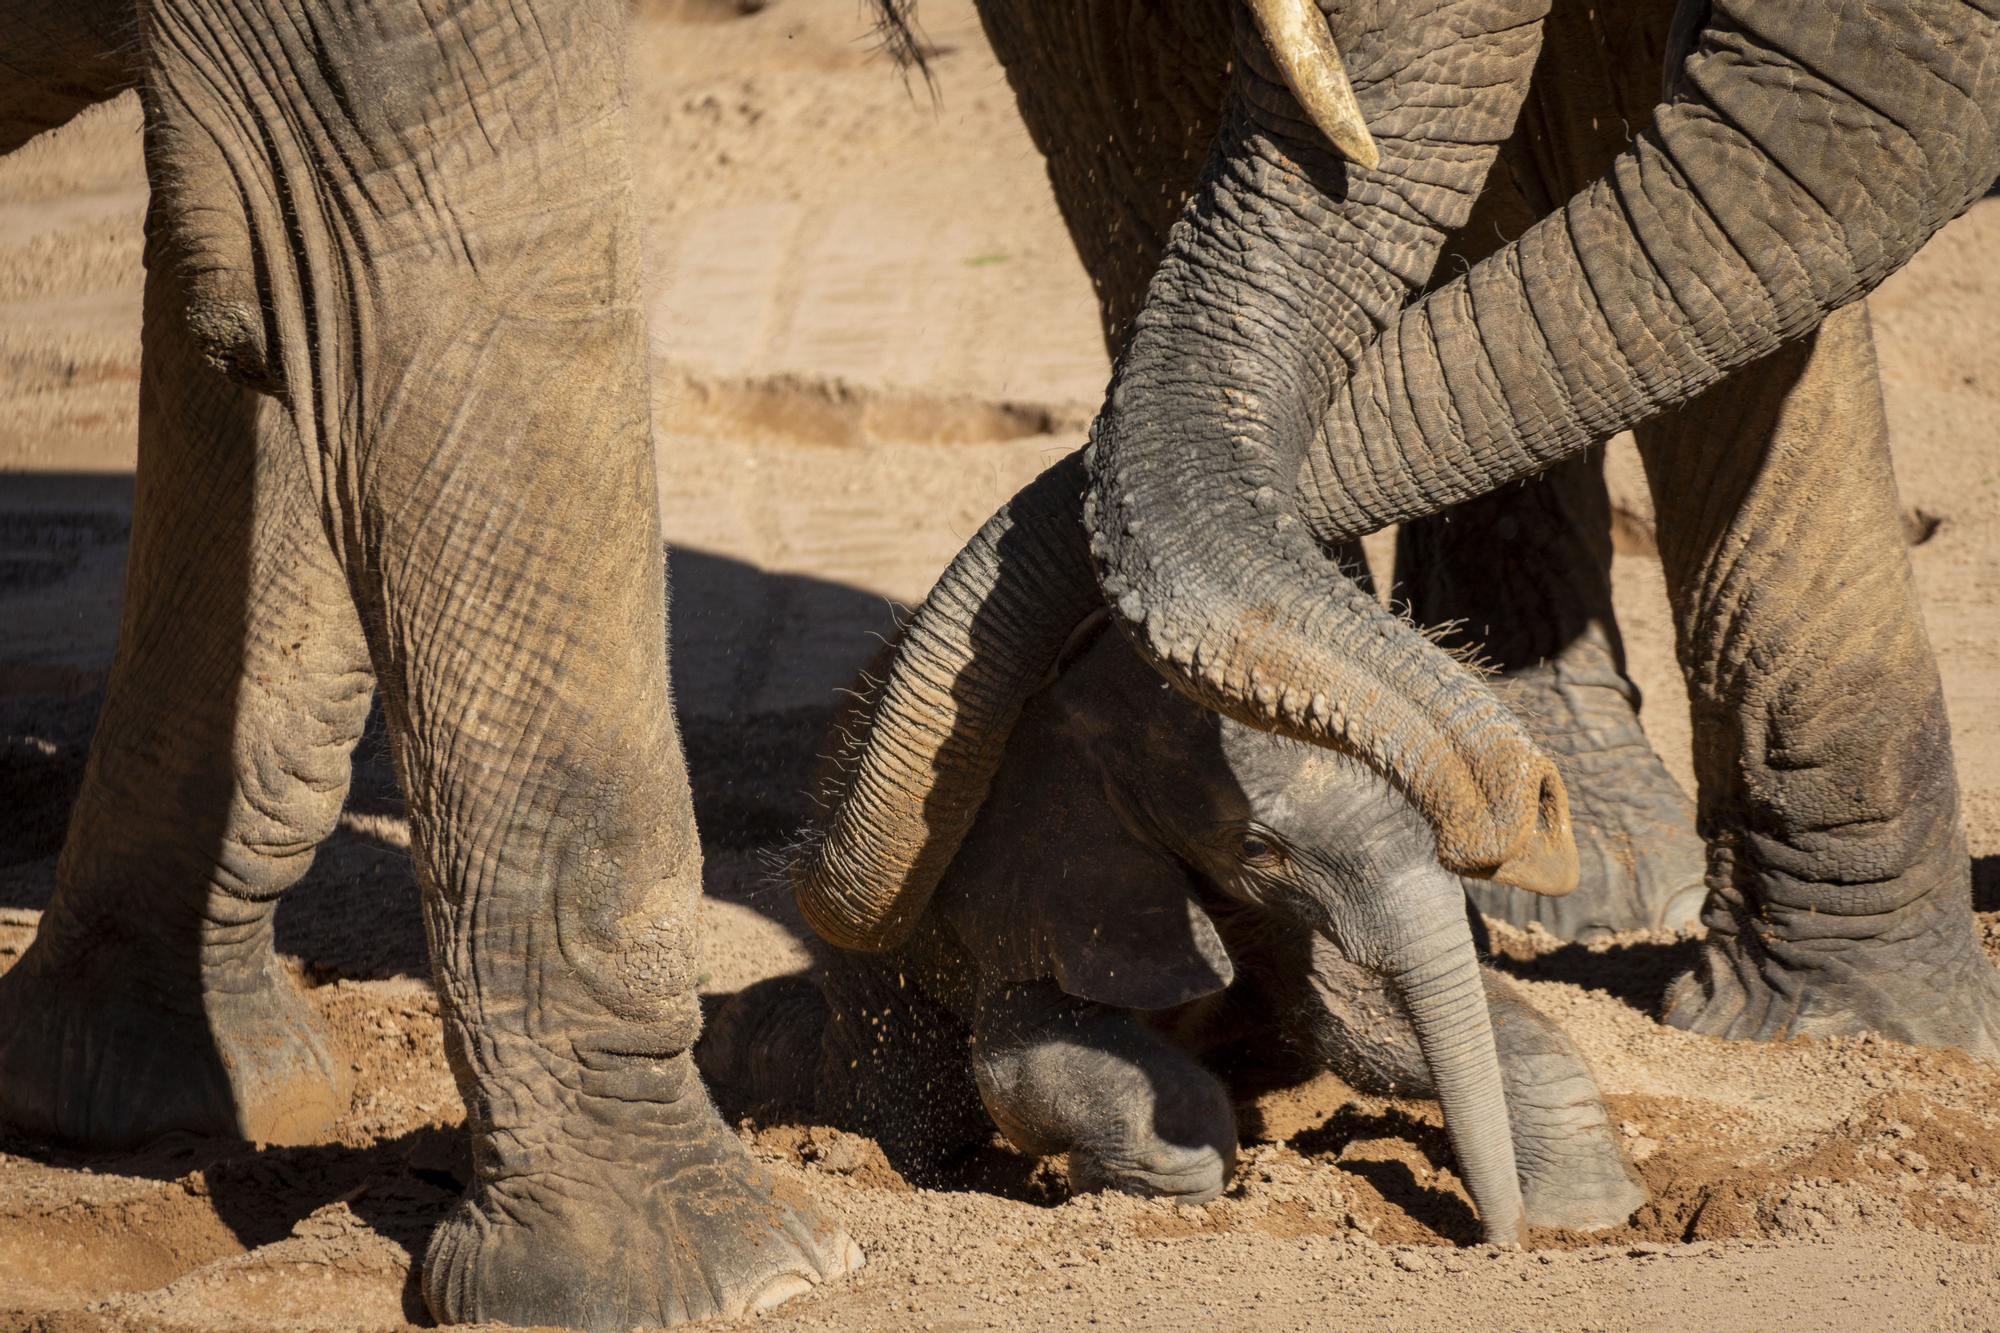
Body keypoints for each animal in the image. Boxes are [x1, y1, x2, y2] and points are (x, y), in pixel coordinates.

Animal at [712, 612, 1648, 1232]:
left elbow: (1365, 1026)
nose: (1503, 1238)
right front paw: (1141, 1197)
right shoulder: (1036, 882)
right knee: (912, 1096)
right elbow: (1022, 1061)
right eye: (1260, 846)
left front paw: (1589, 1215)